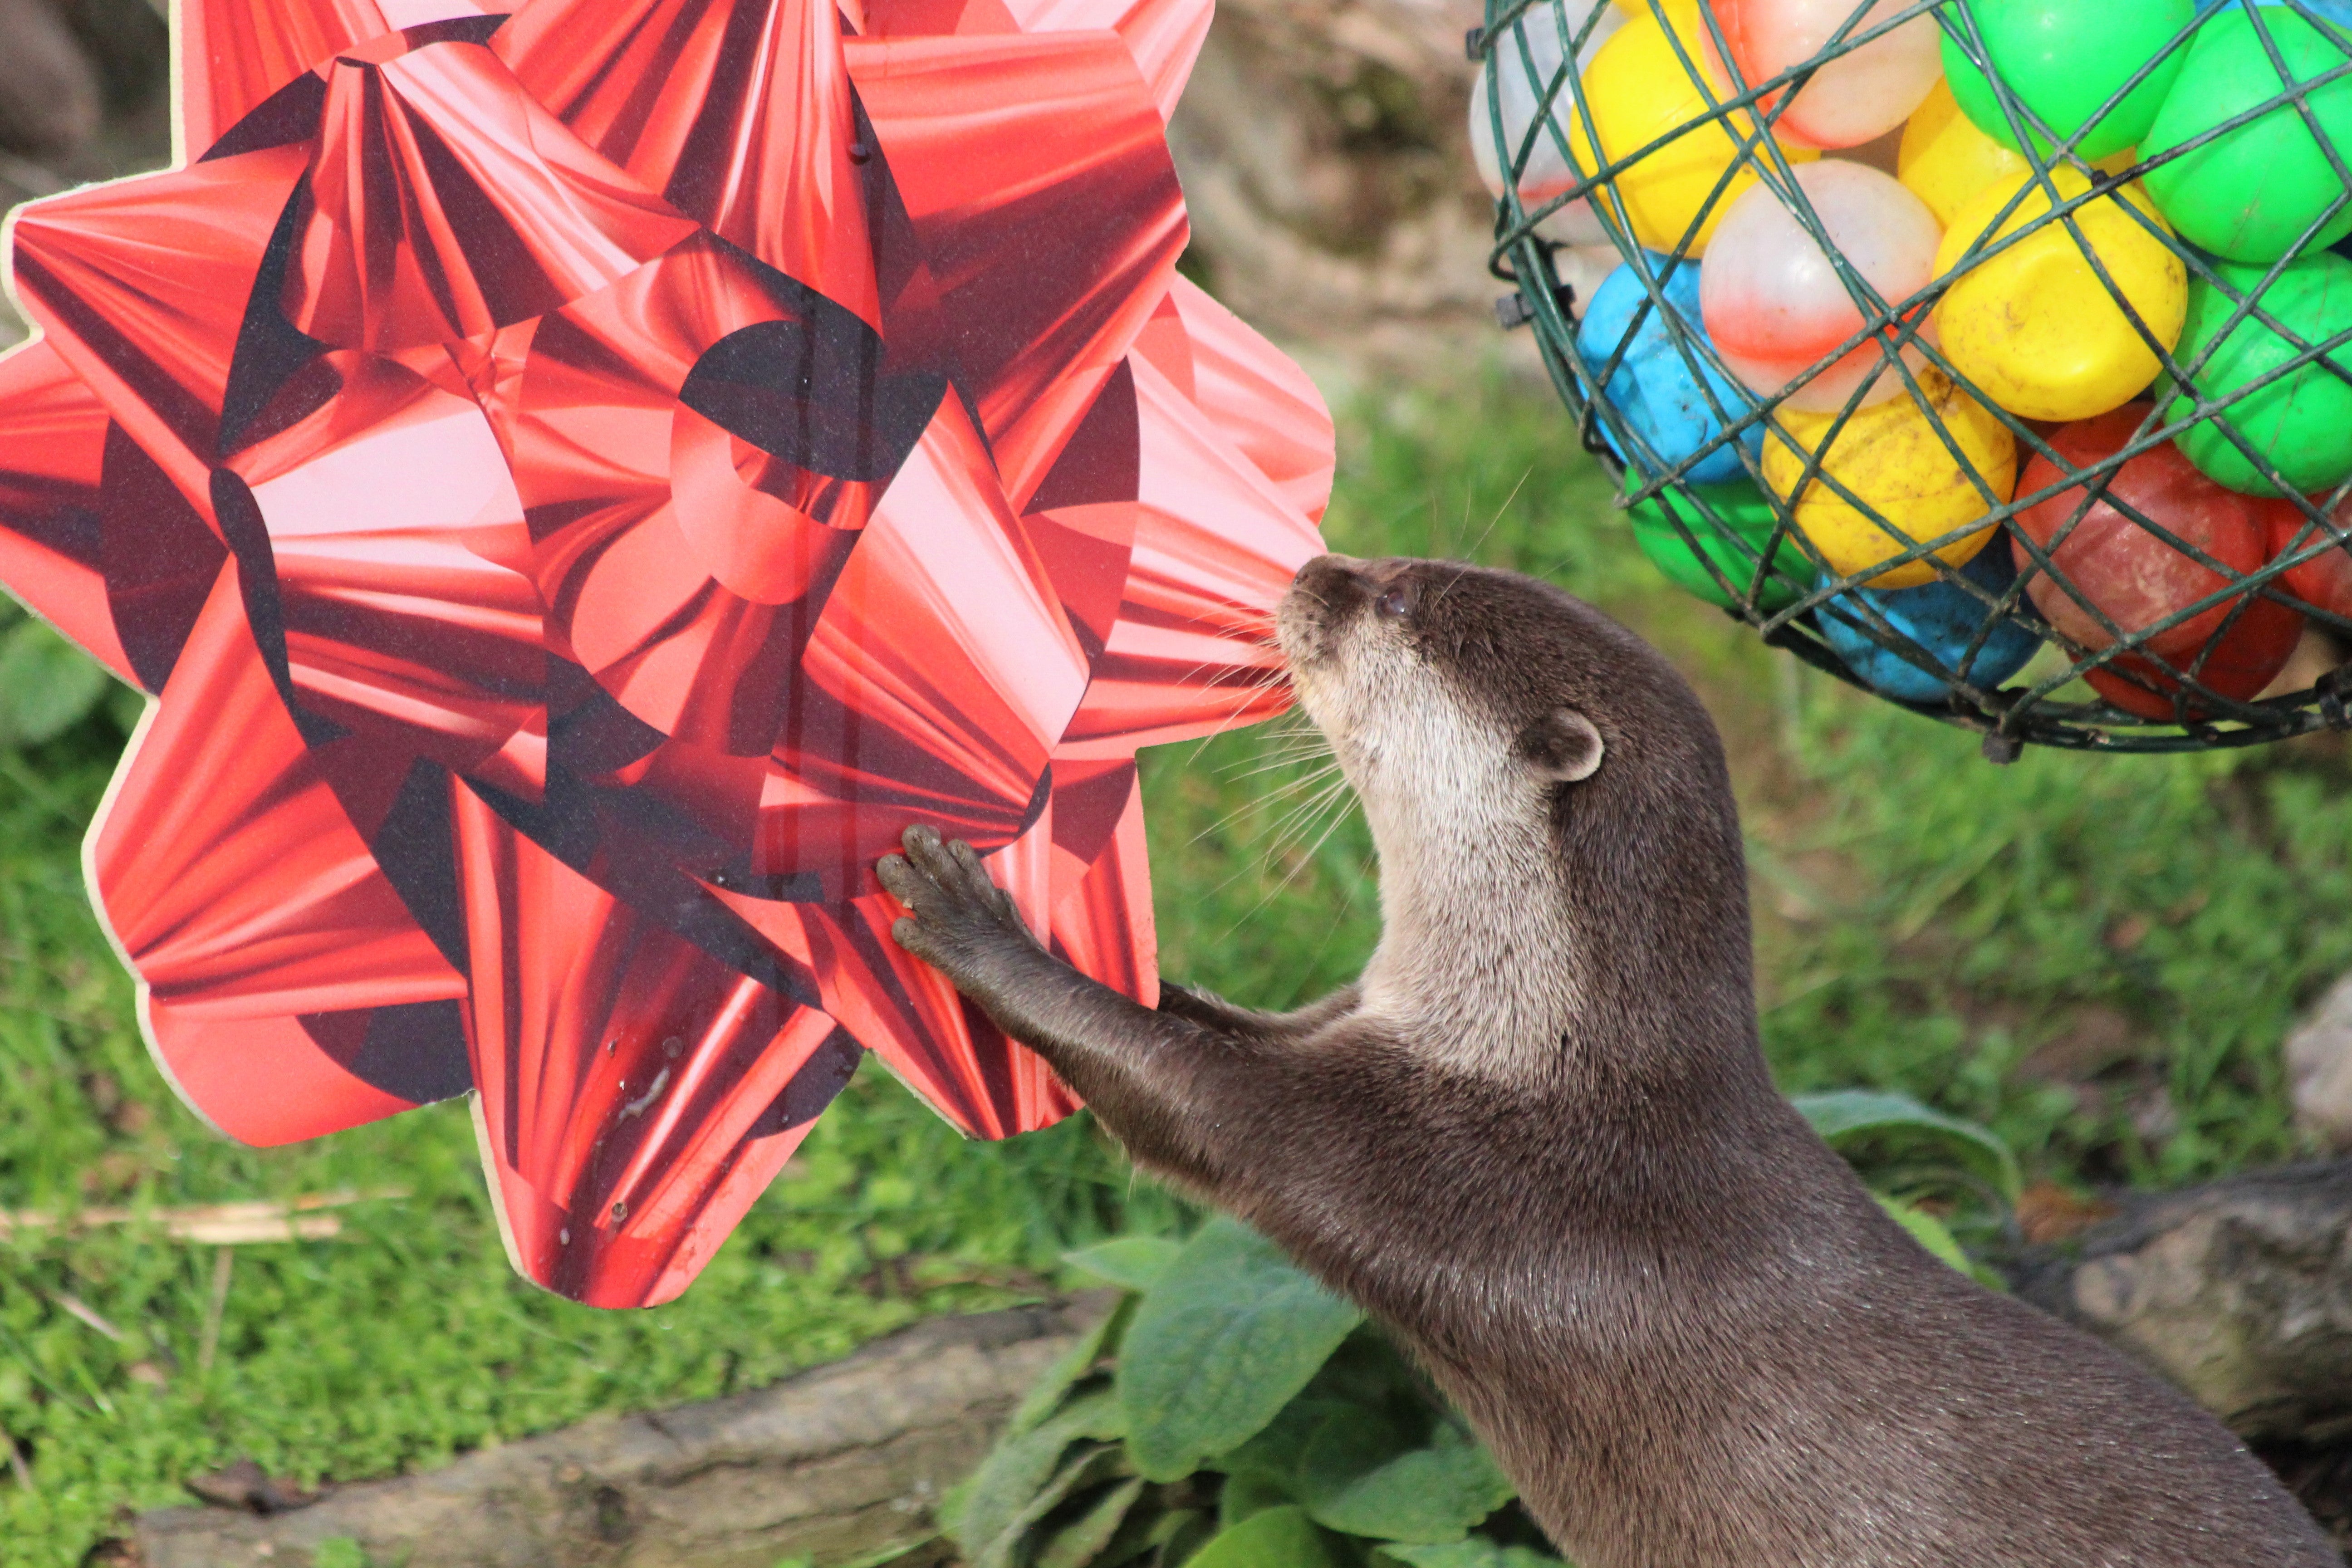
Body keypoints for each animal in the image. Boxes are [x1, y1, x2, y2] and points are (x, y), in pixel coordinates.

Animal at [879, 557, 2333, 1561]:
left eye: (1394, 603)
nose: (1311, 566)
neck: (1536, 1050)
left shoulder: (1423, 1161)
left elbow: (1172, 1098)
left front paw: (973, 921)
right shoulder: (1350, 1035)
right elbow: (1200, 1022)